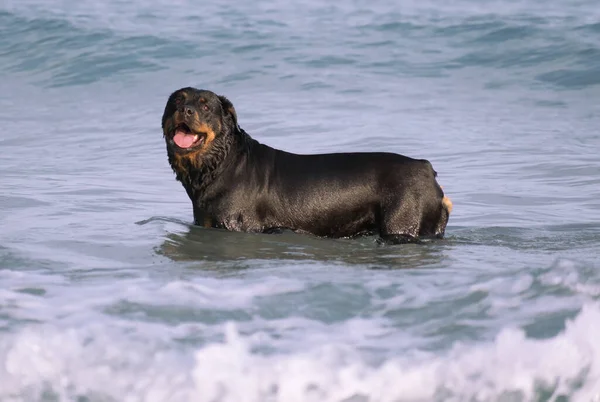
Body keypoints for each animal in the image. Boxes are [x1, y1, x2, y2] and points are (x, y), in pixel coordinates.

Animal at [162, 87, 452, 243]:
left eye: (205, 107)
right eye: (176, 100)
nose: (185, 110)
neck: (220, 164)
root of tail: (428, 170)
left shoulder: (238, 226)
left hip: (403, 221)